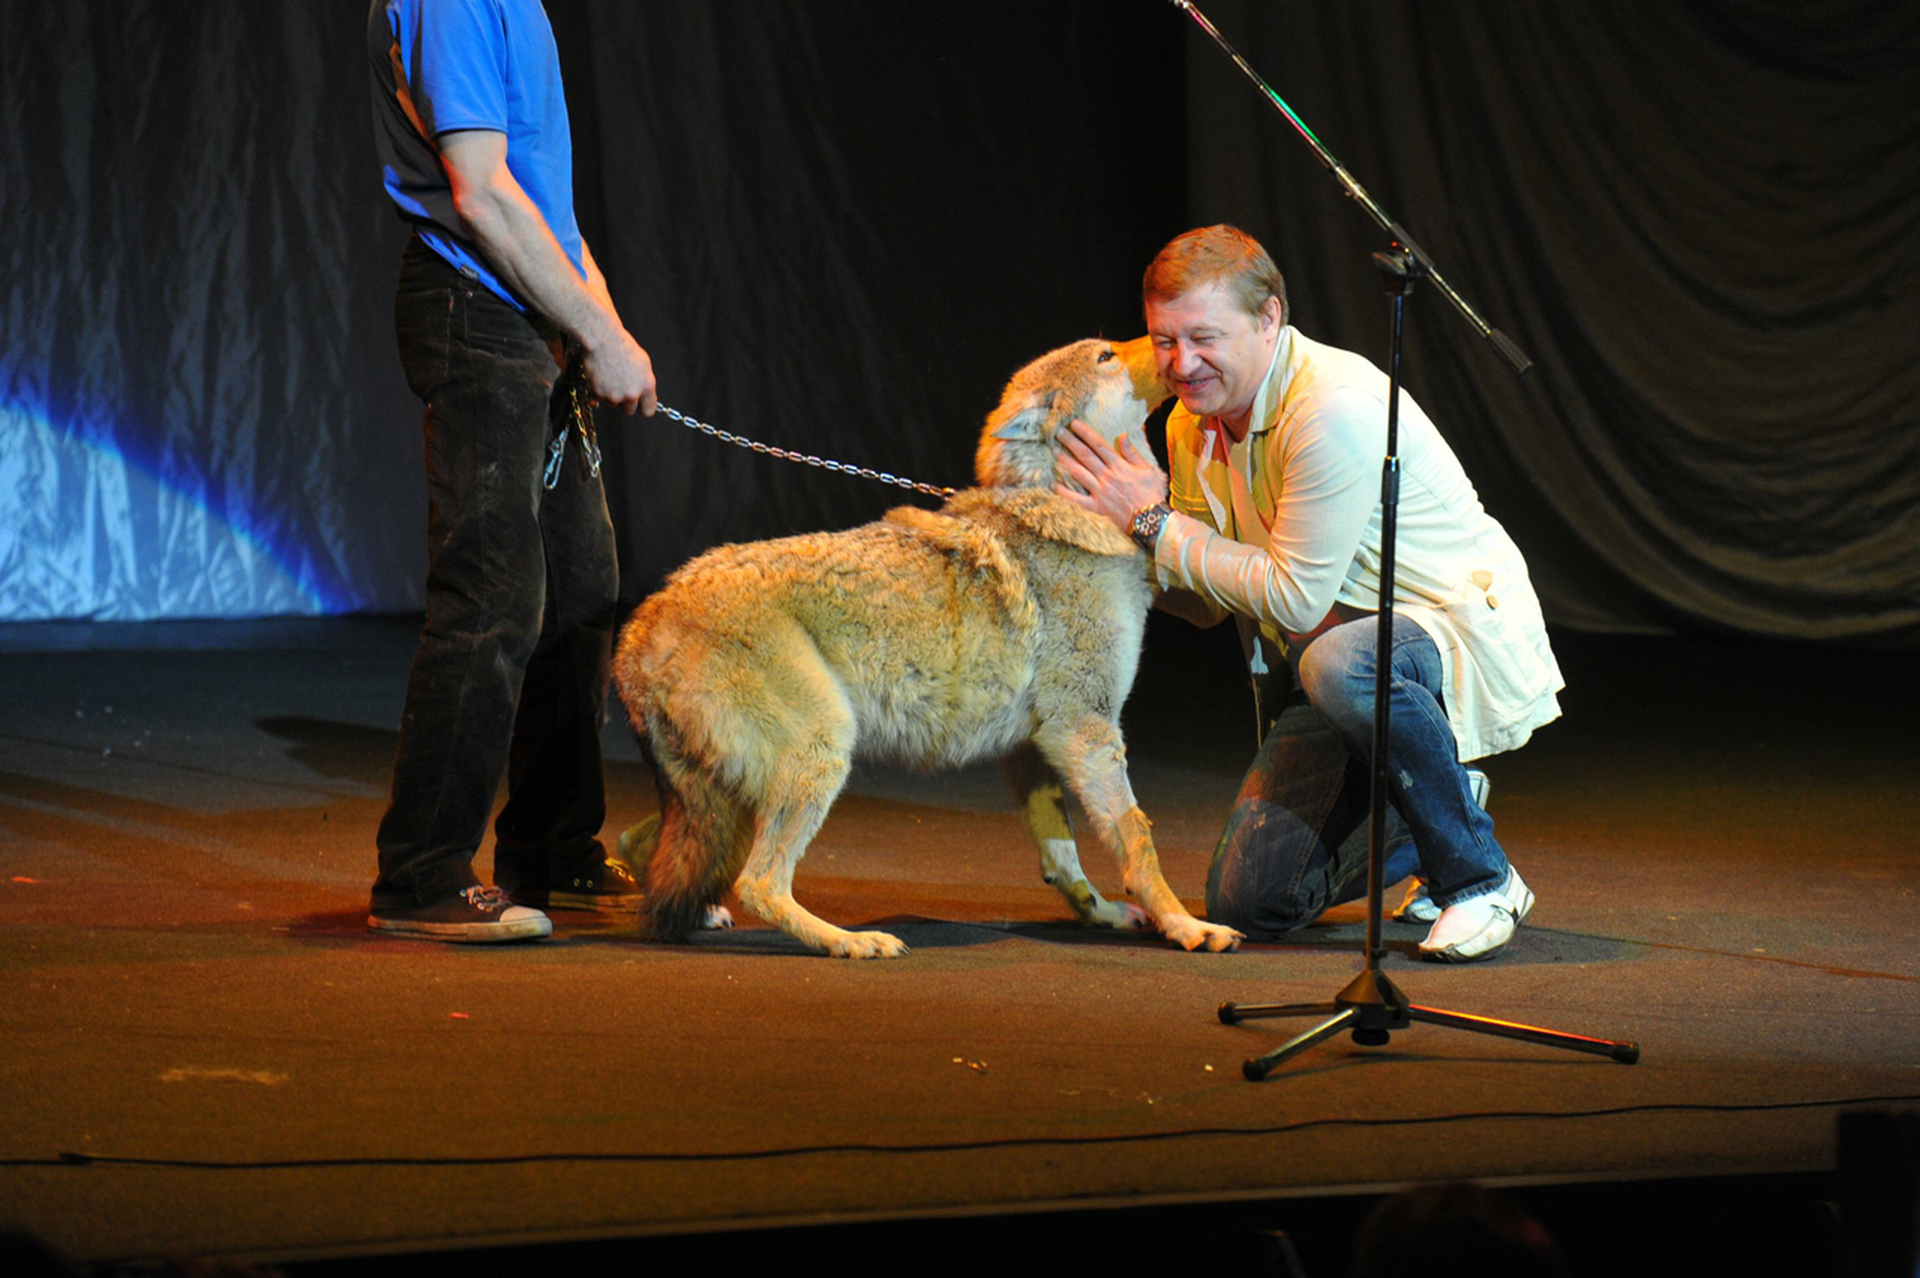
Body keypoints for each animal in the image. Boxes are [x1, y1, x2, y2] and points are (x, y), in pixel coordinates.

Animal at [614, 337, 1244, 955]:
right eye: (1106, 356)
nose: (1166, 343)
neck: (1066, 509)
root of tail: (641, 628)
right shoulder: (1086, 729)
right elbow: (1138, 837)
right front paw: (1187, 926)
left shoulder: (1033, 747)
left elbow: (1063, 858)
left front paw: (1104, 914)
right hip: (819, 752)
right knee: (760, 884)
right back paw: (852, 941)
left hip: (726, 800)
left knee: (638, 846)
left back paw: (702, 915)